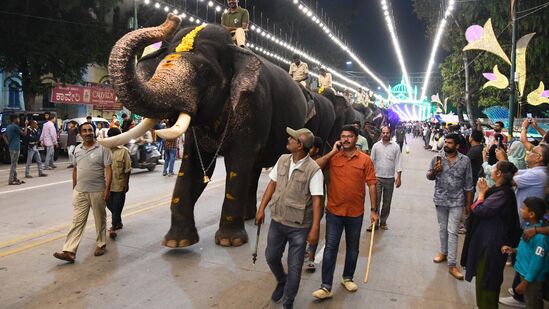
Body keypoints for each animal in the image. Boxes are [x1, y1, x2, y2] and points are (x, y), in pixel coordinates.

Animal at [99, 14, 338, 248]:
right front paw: (177, 242)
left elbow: (237, 165)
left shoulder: (254, 108)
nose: (172, 17)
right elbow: (193, 167)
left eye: (204, 73)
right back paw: (250, 217)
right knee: (254, 168)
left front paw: (229, 241)